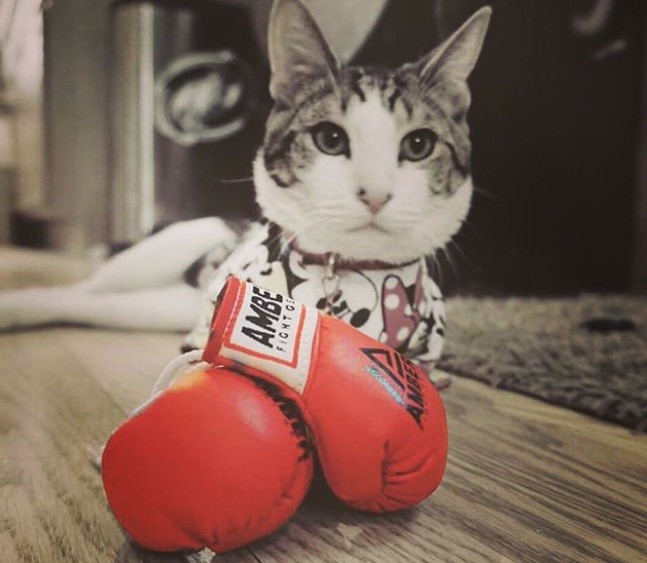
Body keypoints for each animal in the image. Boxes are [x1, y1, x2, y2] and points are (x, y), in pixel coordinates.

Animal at [0, 0, 491, 387]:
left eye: (418, 145)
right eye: (330, 139)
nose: (376, 195)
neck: (344, 277)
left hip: (162, 302)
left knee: (88, 303)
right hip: (173, 247)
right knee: (86, 287)